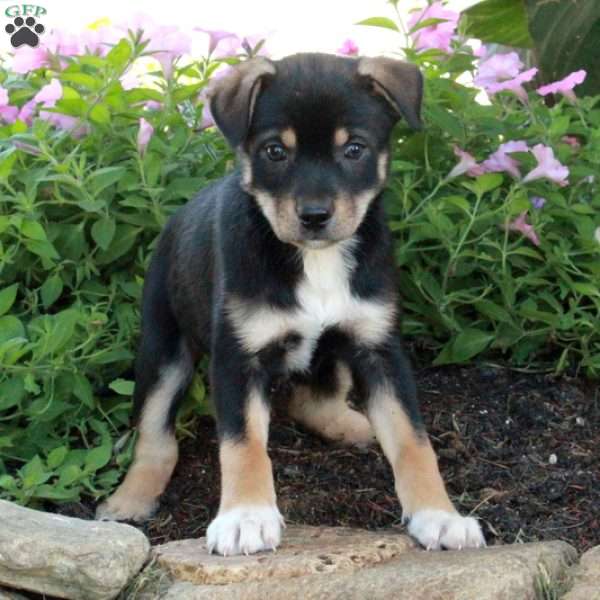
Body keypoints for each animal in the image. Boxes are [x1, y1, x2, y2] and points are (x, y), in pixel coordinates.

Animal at [96, 54, 486, 556]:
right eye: (274, 152)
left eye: (354, 149)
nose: (315, 216)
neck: (315, 260)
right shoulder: (237, 358)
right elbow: (243, 444)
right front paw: (245, 516)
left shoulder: (379, 349)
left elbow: (413, 439)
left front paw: (440, 516)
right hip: (163, 347)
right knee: (154, 435)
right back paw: (129, 499)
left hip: (335, 348)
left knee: (313, 401)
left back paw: (355, 424)